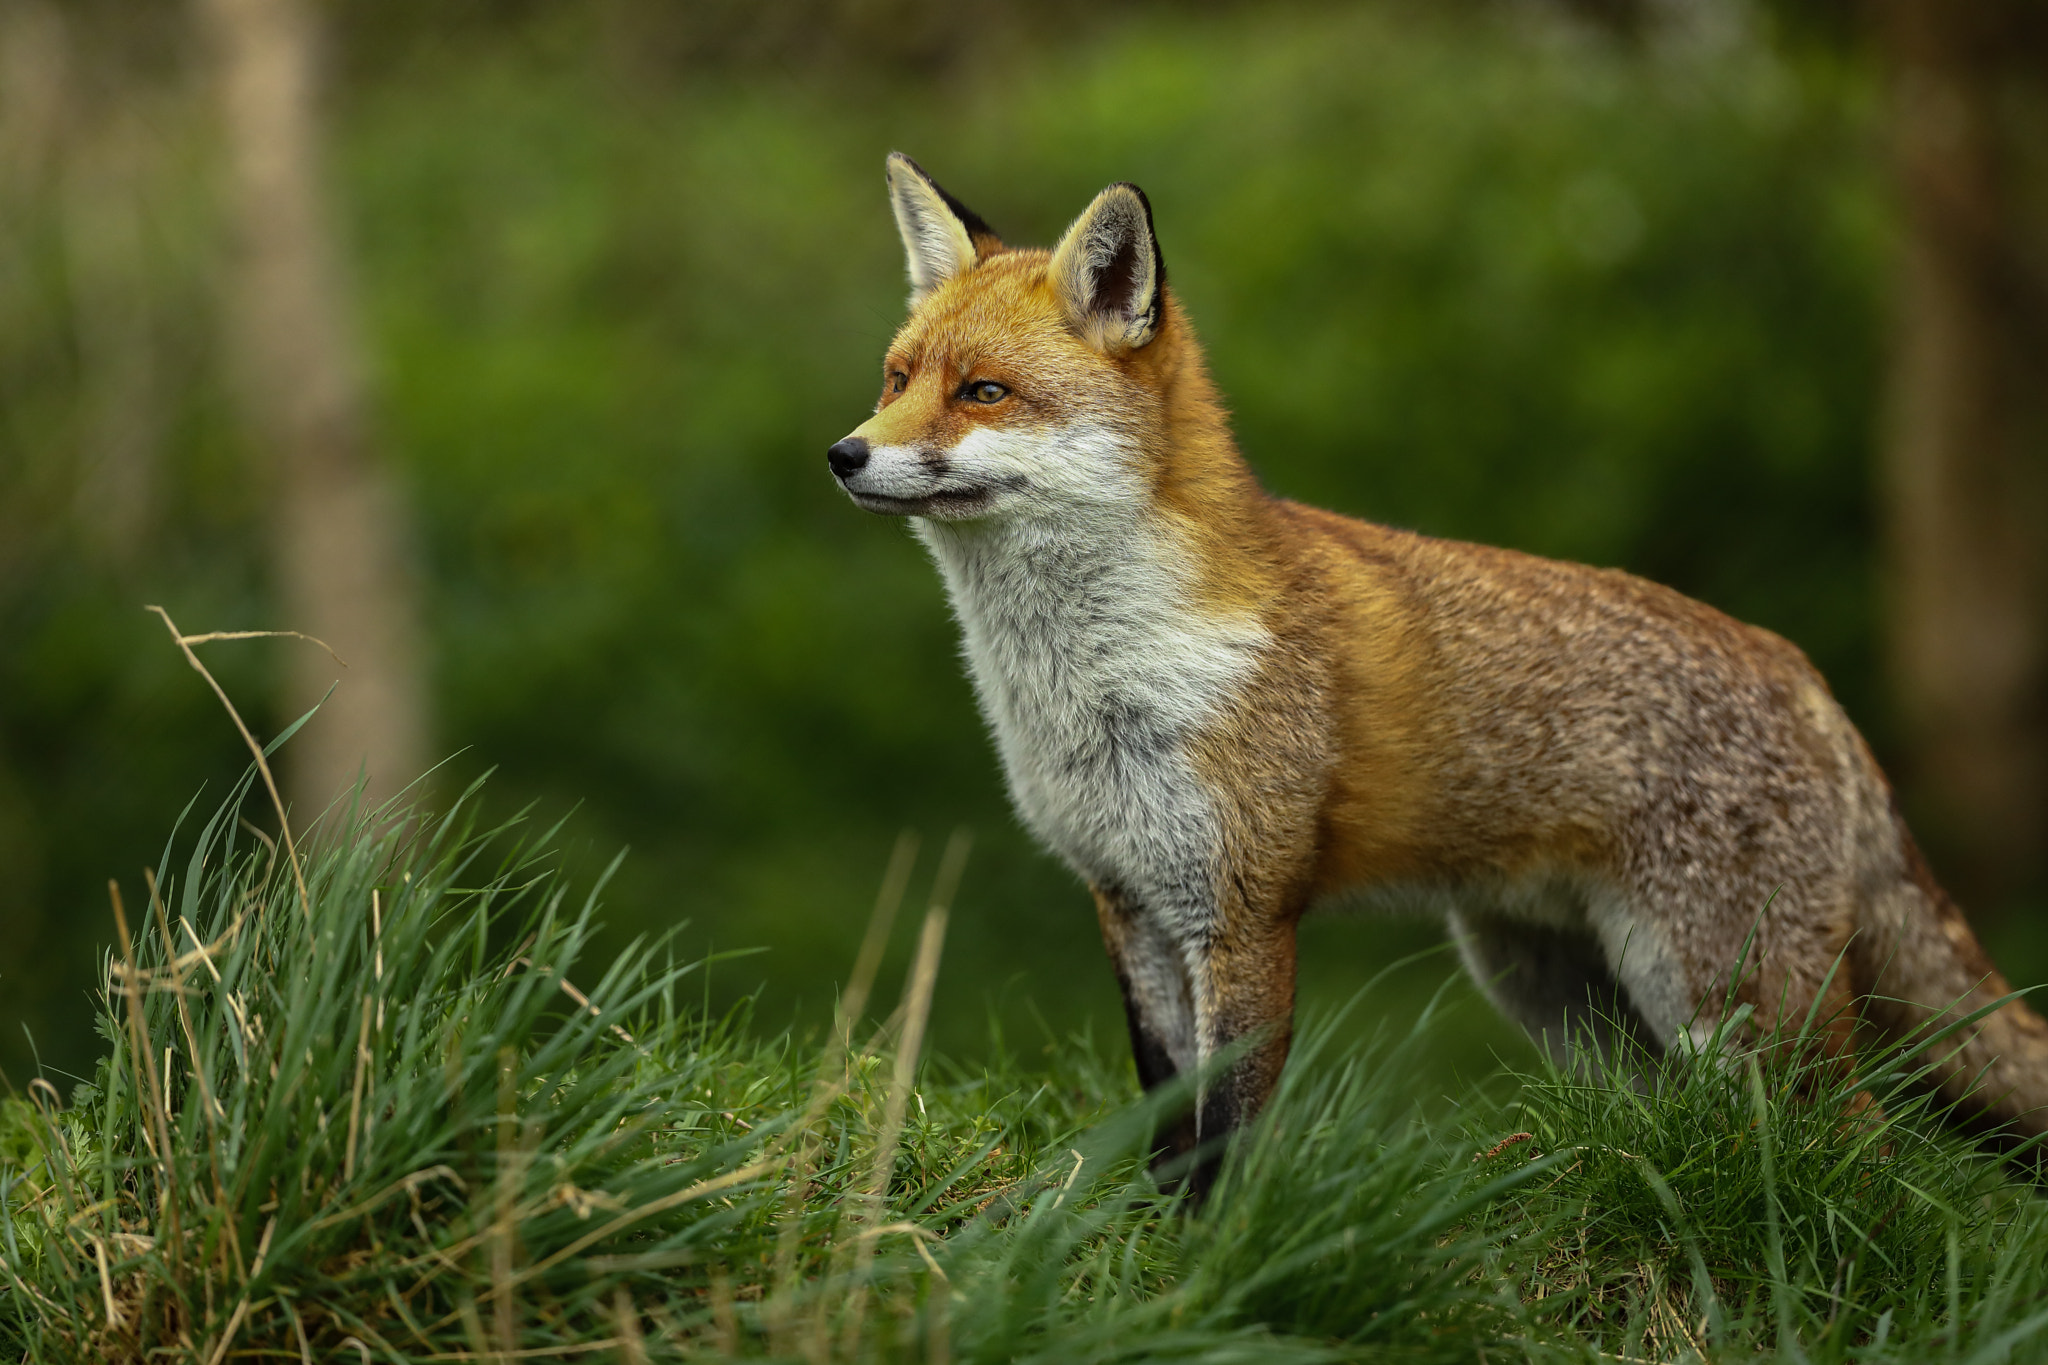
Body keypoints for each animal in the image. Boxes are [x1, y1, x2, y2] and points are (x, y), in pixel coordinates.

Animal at [823, 147, 2039, 1178]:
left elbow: (1225, 1134)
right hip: (1560, 992)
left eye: (982, 392)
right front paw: (1144, 1241)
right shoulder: (1129, 900)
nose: (843, 454)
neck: (1091, 681)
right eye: (894, 379)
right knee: (1683, 1115)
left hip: (1725, 994)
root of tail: (1802, 671)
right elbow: (1166, 1117)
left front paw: (1208, 1260)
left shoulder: (1244, 910)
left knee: (1865, 1144)